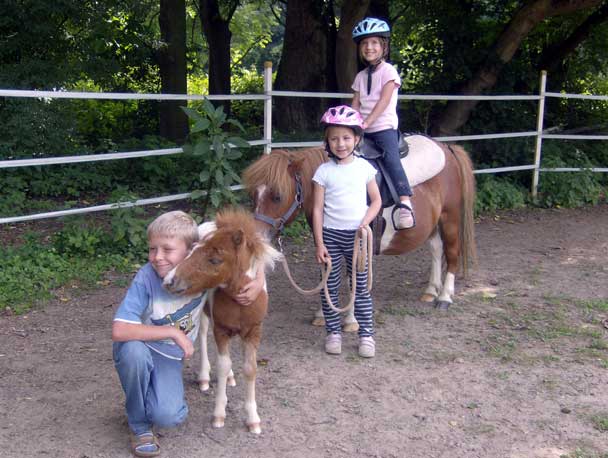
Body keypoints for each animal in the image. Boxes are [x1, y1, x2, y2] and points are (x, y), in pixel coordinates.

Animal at [164, 208, 282, 432]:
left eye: (215, 260)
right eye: (192, 250)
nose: (169, 280)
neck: (240, 303)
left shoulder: (254, 332)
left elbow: (250, 368)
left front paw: (253, 419)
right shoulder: (221, 329)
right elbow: (222, 365)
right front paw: (219, 414)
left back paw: (230, 378)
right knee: (203, 335)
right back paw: (204, 377)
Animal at [241, 140, 476, 318]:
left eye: (277, 196)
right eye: (253, 195)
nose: (257, 236)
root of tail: (449, 149)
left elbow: (352, 279)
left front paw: (350, 320)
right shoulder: (324, 242)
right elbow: (326, 274)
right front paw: (323, 314)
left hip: (450, 218)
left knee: (451, 253)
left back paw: (444, 297)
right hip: (434, 224)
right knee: (436, 249)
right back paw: (430, 291)